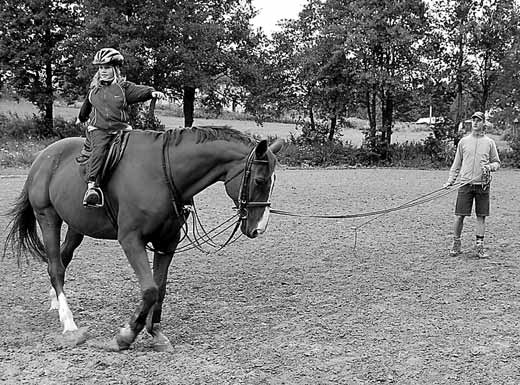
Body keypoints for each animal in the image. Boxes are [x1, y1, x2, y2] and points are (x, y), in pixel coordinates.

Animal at [4, 126, 282, 352]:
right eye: (260, 180)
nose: (259, 228)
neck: (163, 174)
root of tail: (44, 156)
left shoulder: (167, 243)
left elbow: (160, 289)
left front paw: (155, 332)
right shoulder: (131, 240)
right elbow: (149, 290)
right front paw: (125, 336)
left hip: (75, 226)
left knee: (61, 259)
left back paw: (55, 301)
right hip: (47, 217)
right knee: (56, 267)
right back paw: (69, 322)